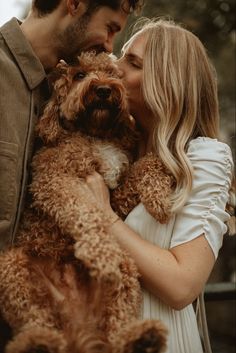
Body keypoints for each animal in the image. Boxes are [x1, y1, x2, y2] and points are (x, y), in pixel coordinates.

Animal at [0, 51, 171, 352]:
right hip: (12, 267)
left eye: (113, 73)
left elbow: (145, 164)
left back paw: (140, 337)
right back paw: (38, 341)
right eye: (79, 74)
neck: (93, 133)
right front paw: (99, 254)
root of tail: (78, 329)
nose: (103, 89)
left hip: (127, 270)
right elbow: (85, 211)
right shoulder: (54, 181)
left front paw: (159, 196)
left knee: (117, 328)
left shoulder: (114, 196)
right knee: (36, 320)